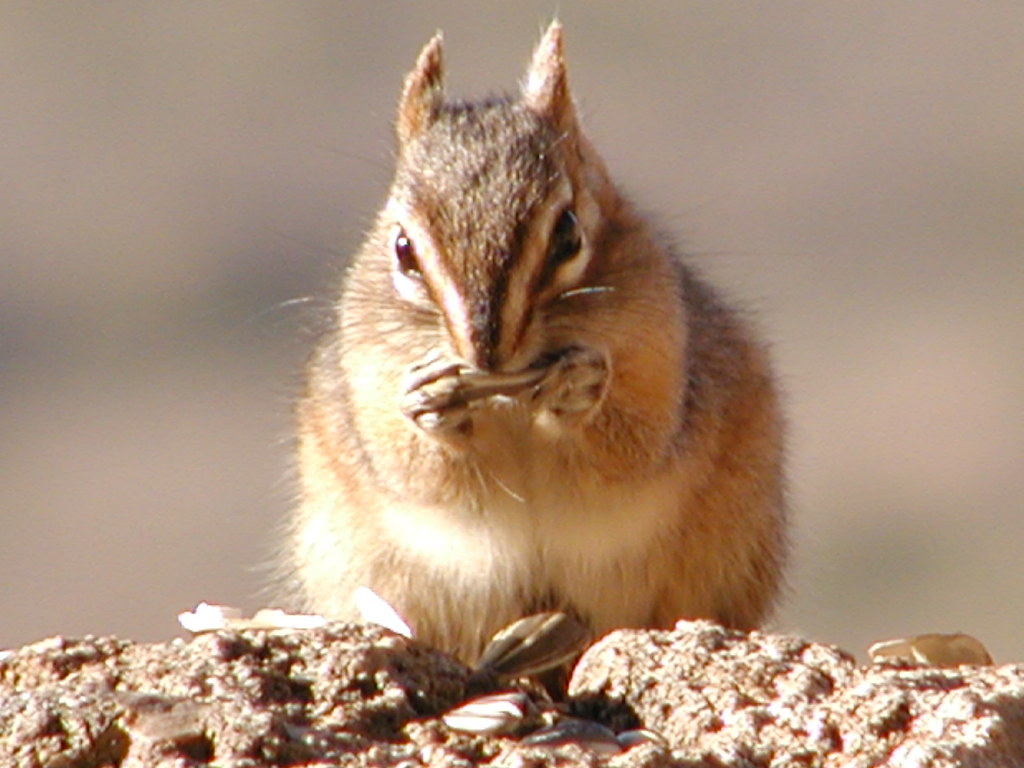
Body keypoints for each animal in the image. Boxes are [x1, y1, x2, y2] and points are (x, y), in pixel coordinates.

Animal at [282, 22, 787, 665]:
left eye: (569, 232)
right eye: (402, 248)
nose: (486, 352)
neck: (509, 397)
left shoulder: (664, 360)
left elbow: (630, 447)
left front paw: (580, 387)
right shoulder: (367, 379)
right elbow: (415, 471)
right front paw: (429, 400)